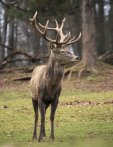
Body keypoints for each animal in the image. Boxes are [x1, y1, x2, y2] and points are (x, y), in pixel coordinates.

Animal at [29, 11, 80, 142]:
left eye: (67, 48)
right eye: (62, 51)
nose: (77, 57)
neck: (50, 86)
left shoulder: (56, 98)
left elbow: (51, 117)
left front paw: (51, 137)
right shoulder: (40, 97)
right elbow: (41, 117)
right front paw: (39, 138)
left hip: (46, 102)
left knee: (44, 114)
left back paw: (44, 134)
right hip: (33, 97)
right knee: (36, 116)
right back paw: (34, 136)